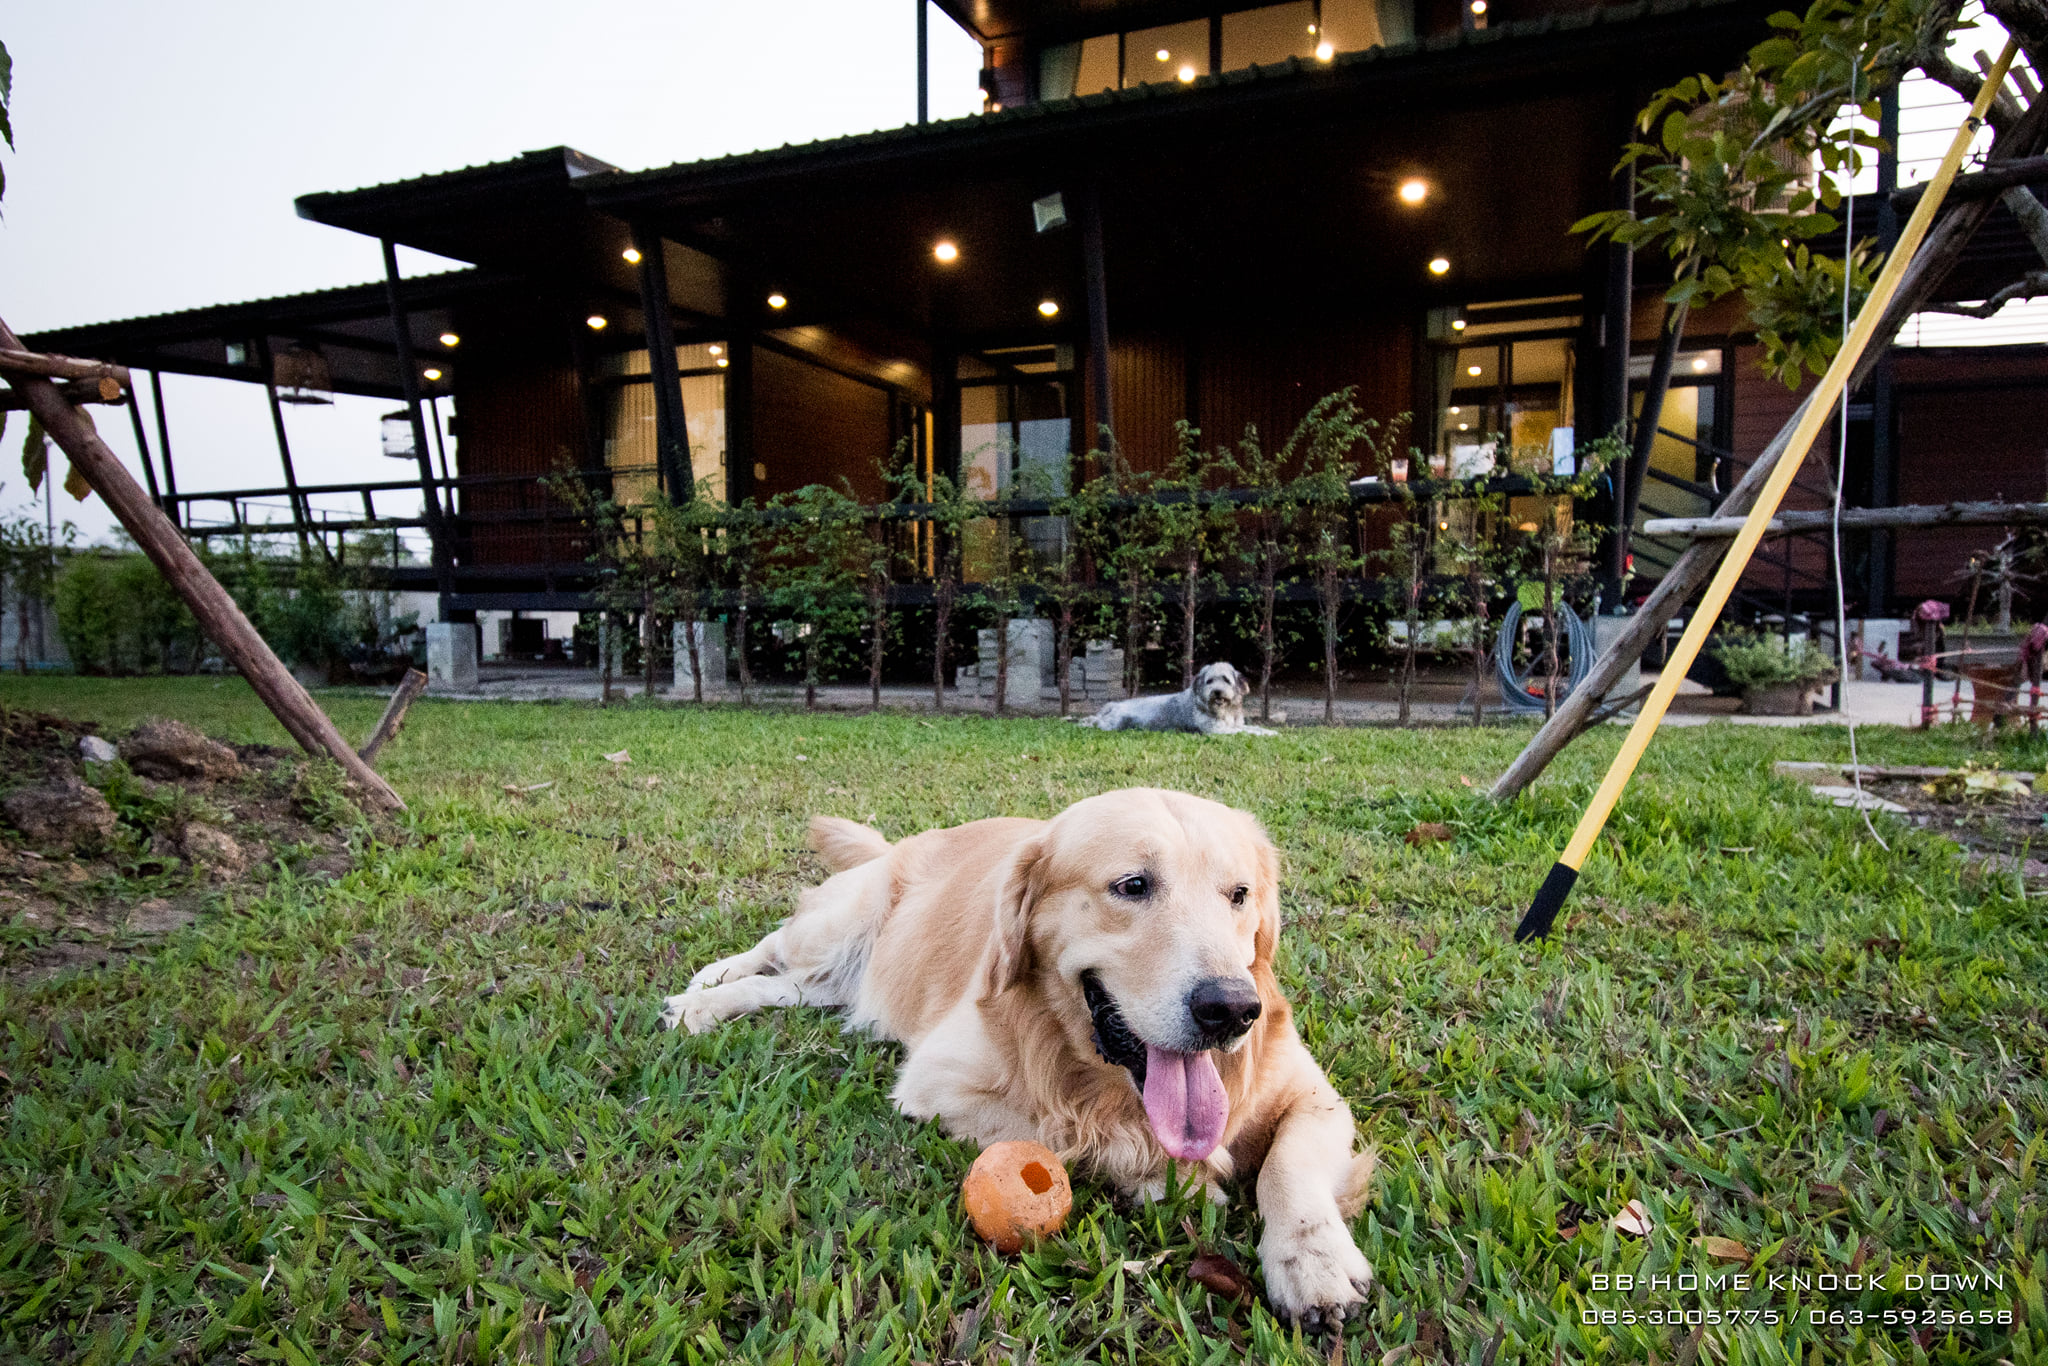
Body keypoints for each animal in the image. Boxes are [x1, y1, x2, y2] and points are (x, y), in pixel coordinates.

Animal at [663, 788, 1374, 1329]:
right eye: (1133, 886)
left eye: (1239, 894)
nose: (1231, 1009)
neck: (1099, 1074)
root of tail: (900, 843)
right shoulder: (937, 1087)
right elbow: (1074, 1136)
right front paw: (1170, 1175)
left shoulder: (1316, 1096)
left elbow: (1287, 1164)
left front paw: (1313, 1262)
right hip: (840, 926)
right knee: (773, 945)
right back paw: (703, 991)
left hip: (835, 980)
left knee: (789, 986)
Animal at [1077, 662, 1277, 735]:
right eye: (1210, 681)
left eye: (1226, 680)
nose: (1217, 692)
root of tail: (1115, 705)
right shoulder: (1217, 731)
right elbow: (1247, 732)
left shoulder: (1234, 725)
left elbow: (1254, 728)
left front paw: (1270, 732)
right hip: (1114, 724)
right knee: (1095, 723)